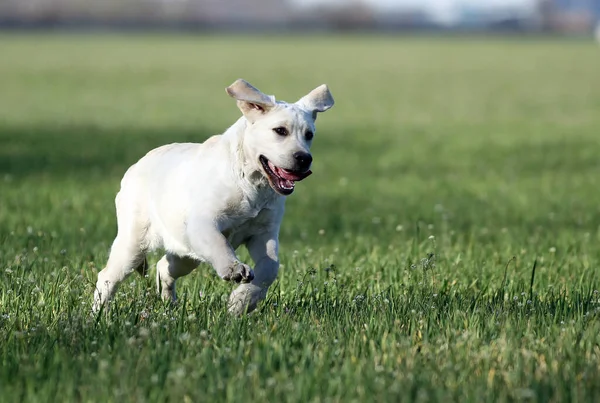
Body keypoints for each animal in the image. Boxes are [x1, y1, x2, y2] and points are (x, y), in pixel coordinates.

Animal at [95, 79, 338, 316]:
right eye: (280, 130)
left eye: (309, 135)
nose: (304, 158)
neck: (251, 182)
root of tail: (136, 165)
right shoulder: (202, 224)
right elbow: (221, 243)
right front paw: (235, 269)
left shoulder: (264, 233)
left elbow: (270, 268)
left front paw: (241, 302)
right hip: (134, 244)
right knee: (107, 277)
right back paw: (98, 315)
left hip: (186, 254)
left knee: (164, 267)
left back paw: (169, 305)